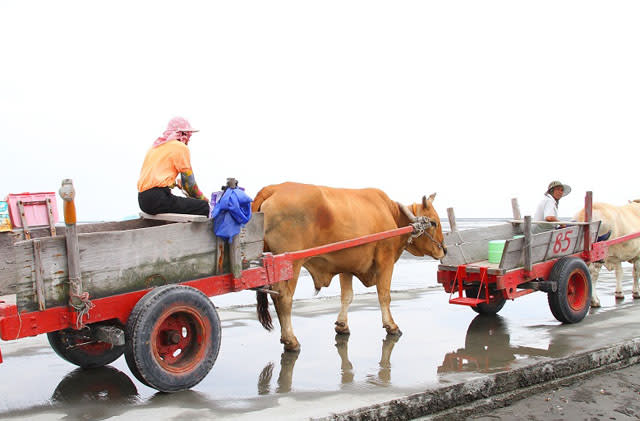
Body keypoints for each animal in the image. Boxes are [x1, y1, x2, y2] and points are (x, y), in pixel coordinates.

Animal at [251, 181, 444, 352]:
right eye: (434, 222)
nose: (445, 250)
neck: (392, 215)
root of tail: (274, 188)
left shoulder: (347, 265)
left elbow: (347, 296)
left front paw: (342, 325)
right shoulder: (385, 260)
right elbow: (384, 295)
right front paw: (391, 326)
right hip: (290, 264)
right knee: (283, 298)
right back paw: (291, 340)